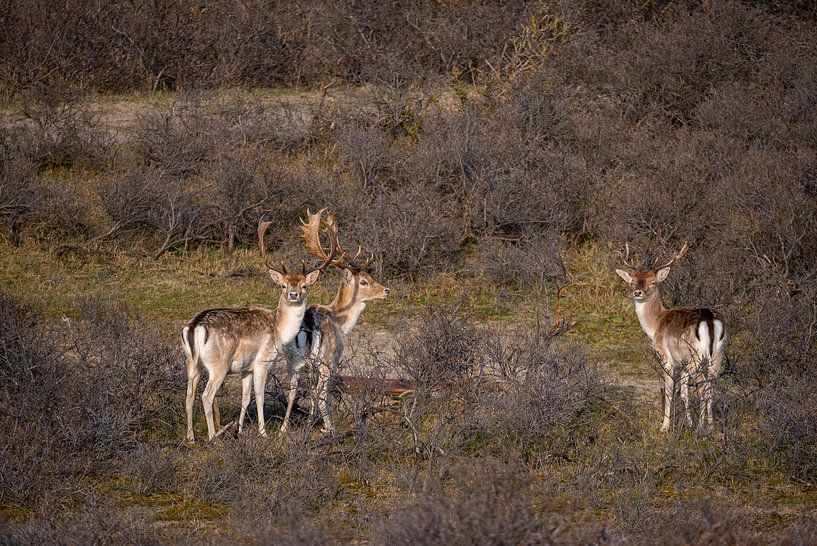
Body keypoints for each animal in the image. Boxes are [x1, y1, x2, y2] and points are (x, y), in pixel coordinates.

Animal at [181, 215, 336, 442]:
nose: (293, 295)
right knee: (207, 395)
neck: (279, 331)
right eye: (283, 285)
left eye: (304, 285)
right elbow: (260, 396)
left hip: (192, 363)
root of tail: (194, 327)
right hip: (218, 365)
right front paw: (263, 432)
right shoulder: (264, 361)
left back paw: (191, 437)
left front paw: (240, 429)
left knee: (189, 394)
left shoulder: (246, 368)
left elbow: (245, 398)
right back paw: (213, 437)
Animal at [279, 208, 391, 434]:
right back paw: (331, 430)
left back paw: (283, 429)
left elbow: (310, 391)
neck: (340, 322)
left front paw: (309, 422)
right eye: (364, 281)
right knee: (323, 392)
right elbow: (322, 392)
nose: (386, 290)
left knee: (292, 388)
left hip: (291, 358)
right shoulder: (335, 356)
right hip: (326, 358)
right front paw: (321, 424)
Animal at [615, 241, 728, 433]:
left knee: (702, 386)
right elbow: (684, 392)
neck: (655, 326)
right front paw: (687, 423)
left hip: (695, 356)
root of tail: (709, 320)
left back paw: (700, 428)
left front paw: (665, 426)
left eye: (652, 282)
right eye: (632, 281)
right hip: (717, 355)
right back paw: (710, 426)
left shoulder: (667, 357)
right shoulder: (681, 362)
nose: (637, 292)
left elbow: (669, 388)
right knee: (711, 386)